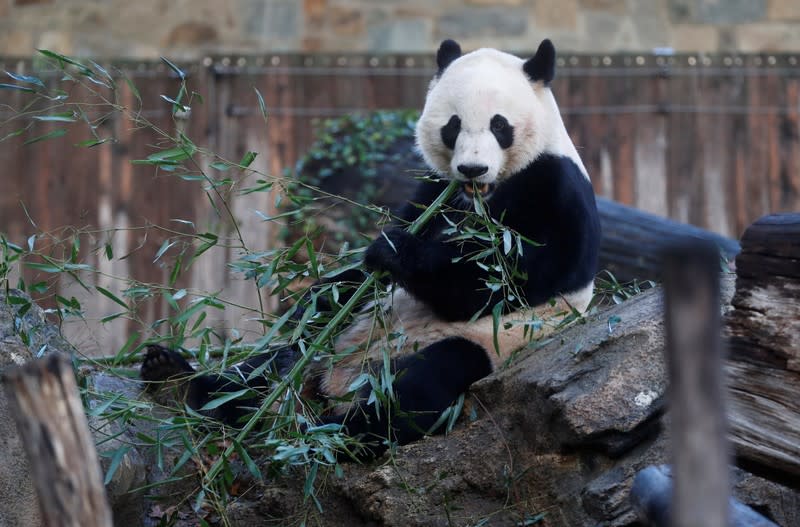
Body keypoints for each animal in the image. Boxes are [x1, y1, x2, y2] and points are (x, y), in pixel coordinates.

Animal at [141, 38, 600, 458]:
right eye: (453, 125)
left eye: (499, 125)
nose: (472, 168)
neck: (479, 198)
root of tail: (341, 383)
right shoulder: (434, 191)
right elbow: (344, 283)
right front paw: (337, 282)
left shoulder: (553, 191)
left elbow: (501, 282)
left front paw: (394, 252)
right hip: (335, 339)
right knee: (272, 363)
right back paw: (182, 383)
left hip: (483, 347)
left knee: (421, 386)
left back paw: (326, 433)